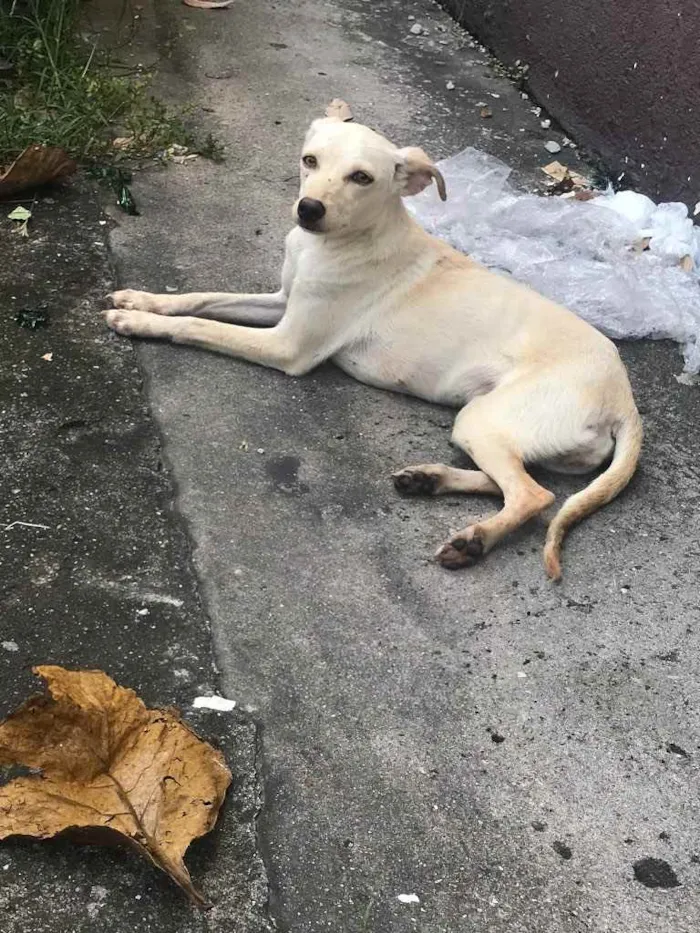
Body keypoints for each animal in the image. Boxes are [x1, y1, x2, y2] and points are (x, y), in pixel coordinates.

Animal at [104, 105, 640, 580]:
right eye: (310, 161)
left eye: (361, 178)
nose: (308, 209)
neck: (338, 241)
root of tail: (623, 399)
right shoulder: (282, 304)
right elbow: (201, 298)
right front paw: (141, 299)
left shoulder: (288, 345)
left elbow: (202, 326)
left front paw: (136, 322)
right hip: (493, 426)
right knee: (515, 483)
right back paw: (429, 481)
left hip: (486, 419)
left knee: (534, 496)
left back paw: (473, 541)